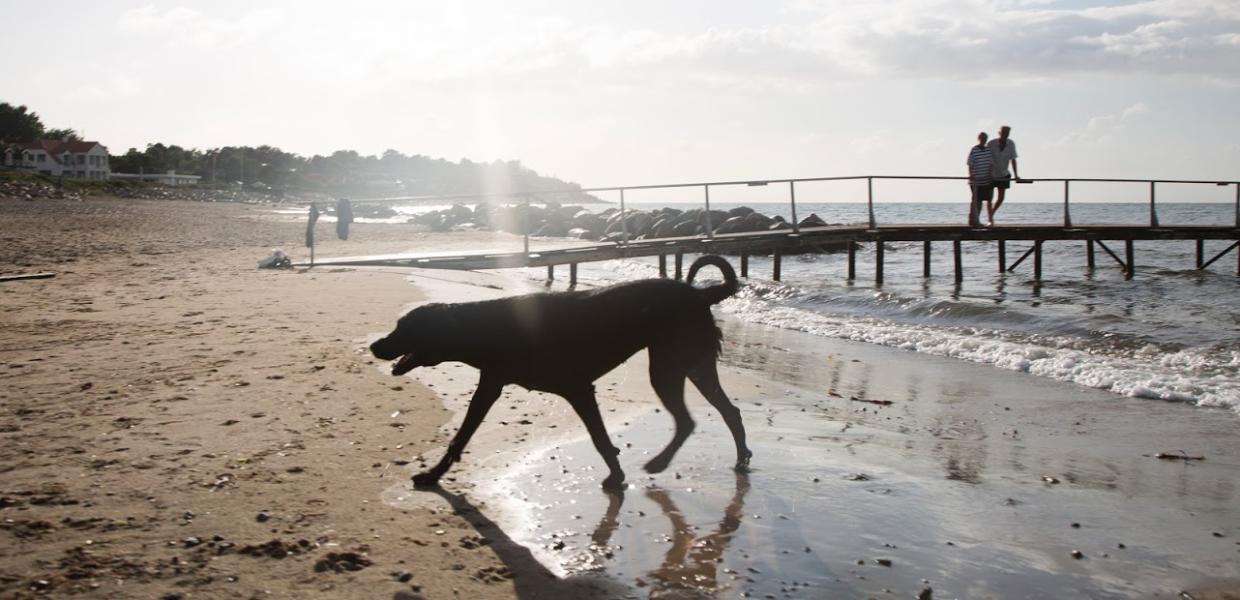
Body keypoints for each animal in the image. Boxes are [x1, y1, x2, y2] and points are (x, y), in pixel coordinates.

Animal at [367, 255, 748, 490]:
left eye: (404, 328)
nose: (375, 345)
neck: (485, 328)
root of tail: (702, 294)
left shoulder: (578, 389)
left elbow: (601, 440)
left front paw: (616, 476)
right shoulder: (490, 384)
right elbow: (460, 437)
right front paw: (434, 474)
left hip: (670, 366)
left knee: (688, 420)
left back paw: (659, 463)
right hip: (692, 365)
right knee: (728, 412)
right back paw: (742, 458)